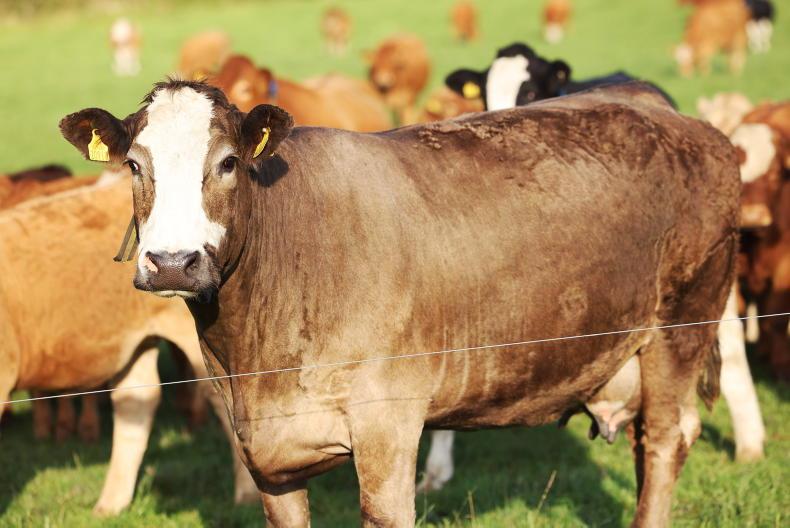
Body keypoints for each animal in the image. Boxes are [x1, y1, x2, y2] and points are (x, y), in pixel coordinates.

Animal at [60, 80, 739, 527]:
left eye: (227, 162)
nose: (173, 262)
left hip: (682, 325)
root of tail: (659, 108)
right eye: (133, 165)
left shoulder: (388, 427)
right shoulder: (267, 455)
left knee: (663, 441)